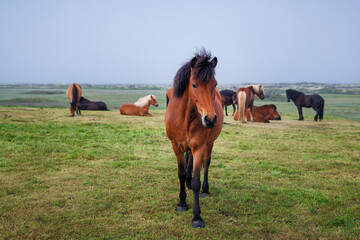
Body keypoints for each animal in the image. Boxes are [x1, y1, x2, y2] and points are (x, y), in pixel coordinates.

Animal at [165, 49, 222, 228]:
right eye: (194, 84)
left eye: (215, 84)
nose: (210, 119)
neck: (185, 118)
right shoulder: (176, 146)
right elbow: (181, 173)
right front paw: (182, 203)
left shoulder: (199, 147)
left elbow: (197, 178)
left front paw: (197, 216)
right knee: (188, 159)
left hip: (209, 144)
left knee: (206, 163)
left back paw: (205, 190)